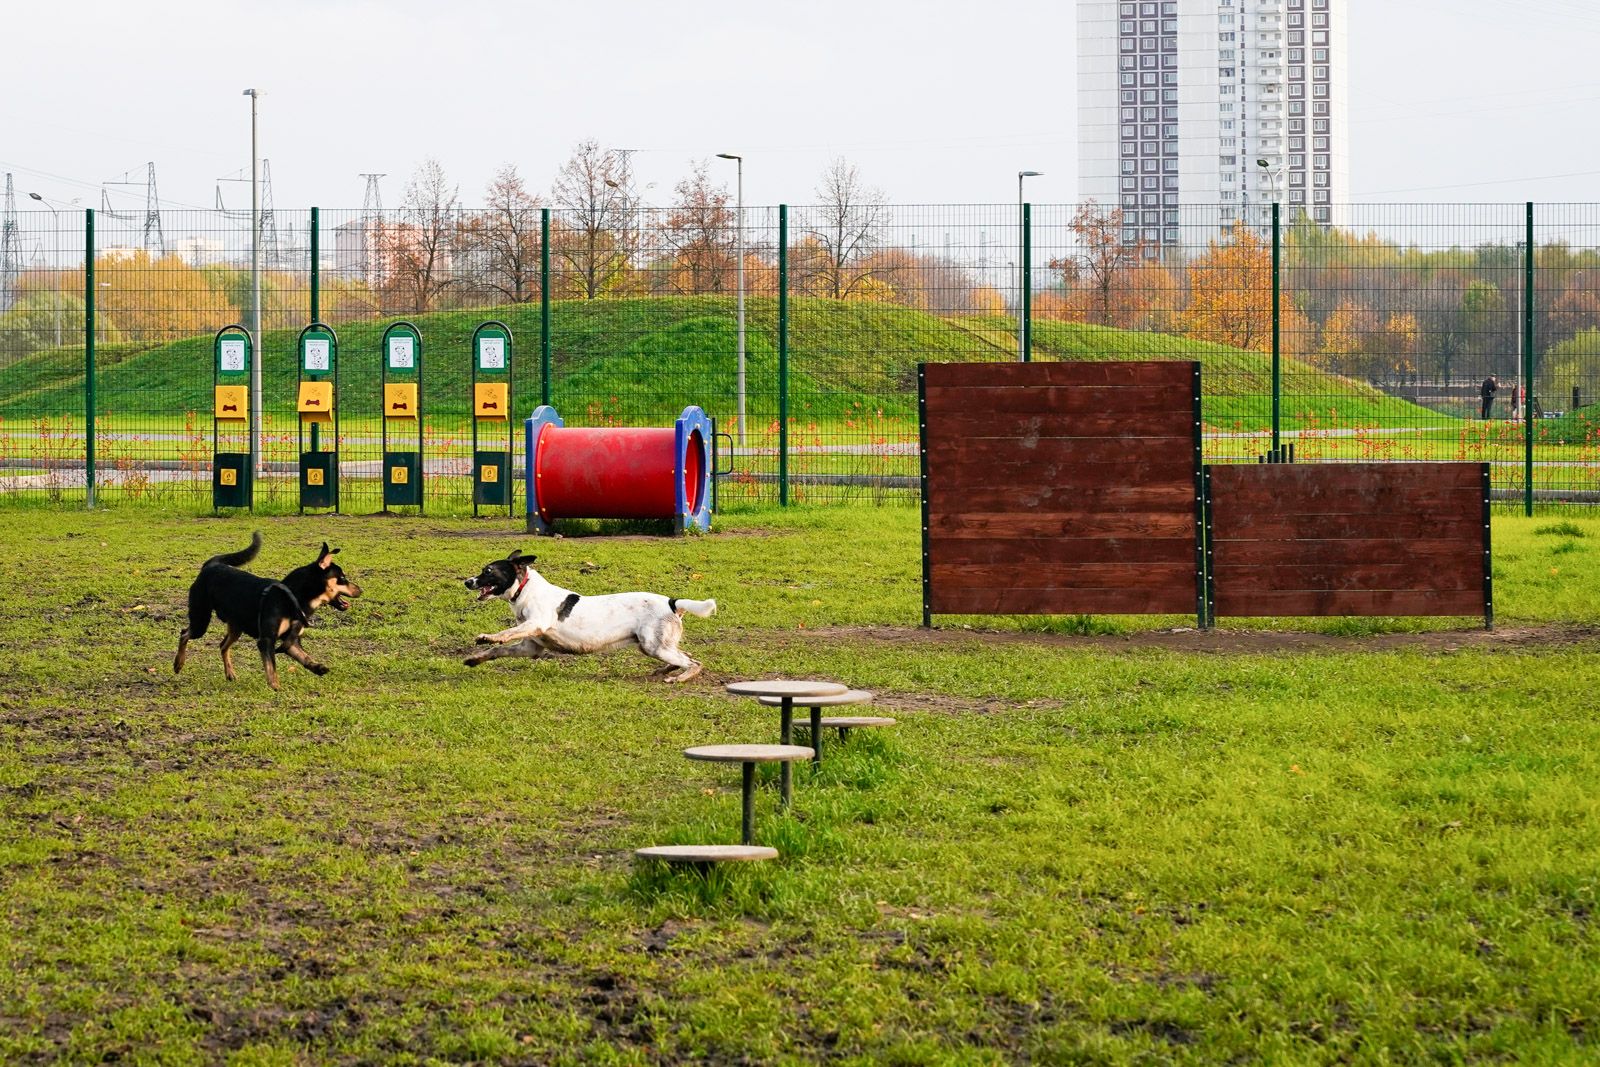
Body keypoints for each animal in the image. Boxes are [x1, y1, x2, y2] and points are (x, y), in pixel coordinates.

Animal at [173, 534, 364, 694]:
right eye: (343, 578)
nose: (361, 590)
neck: (293, 597)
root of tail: (211, 565)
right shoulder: (266, 640)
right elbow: (271, 665)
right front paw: (275, 686)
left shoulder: (291, 640)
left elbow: (304, 657)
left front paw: (317, 667)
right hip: (201, 620)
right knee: (184, 634)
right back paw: (178, 664)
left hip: (236, 626)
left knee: (222, 645)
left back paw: (230, 674)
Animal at [460, 550, 716, 684]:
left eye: (488, 571)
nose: (467, 582)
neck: (524, 589)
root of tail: (672, 603)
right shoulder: (530, 647)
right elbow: (498, 651)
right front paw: (475, 659)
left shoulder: (537, 623)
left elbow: (506, 633)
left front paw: (489, 637)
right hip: (653, 646)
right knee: (685, 656)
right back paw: (665, 671)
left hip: (655, 645)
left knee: (694, 662)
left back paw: (679, 678)